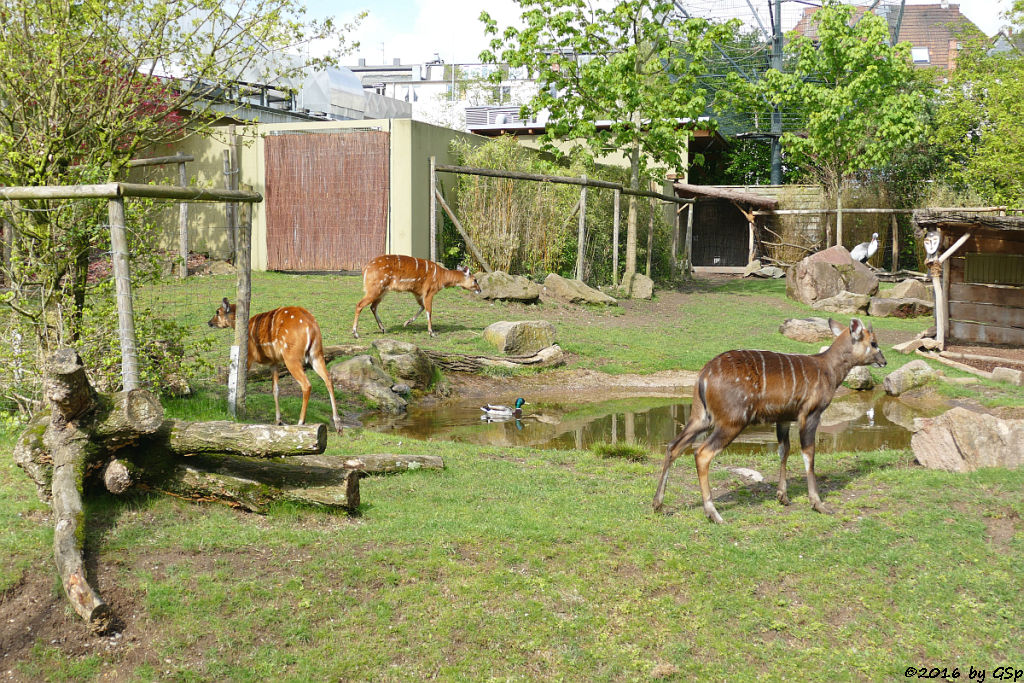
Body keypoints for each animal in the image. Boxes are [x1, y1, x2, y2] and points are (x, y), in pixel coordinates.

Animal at [207, 299, 344, 432]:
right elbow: (275, 389)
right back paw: (338, 425)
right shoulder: (274, 362)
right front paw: (278, 420)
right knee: (328, 378)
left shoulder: (249, 356)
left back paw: (301, 422)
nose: (209, 322)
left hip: (292, 358)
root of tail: (311, 326)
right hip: (316, 354)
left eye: (217, 312)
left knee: (306, 384)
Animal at [655, 319, 888, 524]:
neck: (828, 370)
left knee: (673, 446)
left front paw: (783, 497)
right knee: (702, 453)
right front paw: (819, 504)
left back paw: (657, 504)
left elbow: (784, 450)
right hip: (732, 421)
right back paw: (714, 515)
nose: (884, 361)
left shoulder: (783, 418)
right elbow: (808, 454)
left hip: (701, 417)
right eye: (874, 342)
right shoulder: (810, 414)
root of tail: (704, 375)